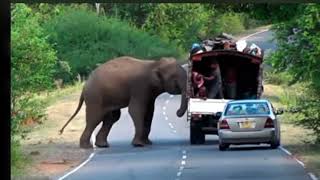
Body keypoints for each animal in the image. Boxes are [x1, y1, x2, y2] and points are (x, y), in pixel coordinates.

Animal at [59, 56, 188, 149]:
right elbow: (136, 111)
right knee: (95, 118)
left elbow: (149, 112)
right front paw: (139, 145)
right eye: (174, 78)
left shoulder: (149, 92)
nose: (177, 112)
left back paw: (102, 145)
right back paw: (87, 147)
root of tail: (84, 86)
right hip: (95, 97)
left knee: (112, 118)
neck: (154, 64)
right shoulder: (140, 87)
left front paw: (147, 143)